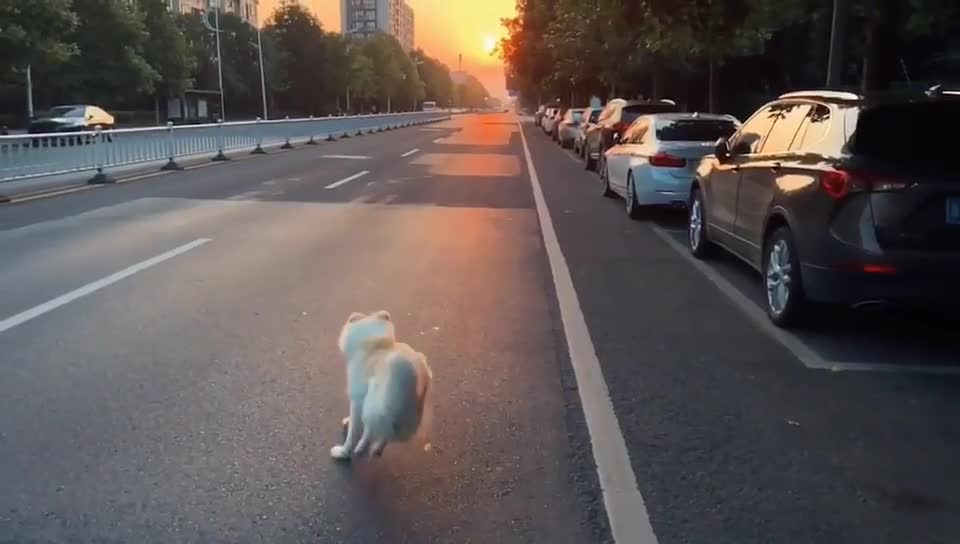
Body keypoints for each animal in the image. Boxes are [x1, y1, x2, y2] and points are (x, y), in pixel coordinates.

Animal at [332, 310, 434, 460]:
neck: (377, 344)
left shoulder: (356, 398)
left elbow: (353, 432)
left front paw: (344, 451)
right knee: (386, 432)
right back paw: (376, 449)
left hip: (373, 403)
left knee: (373, 430)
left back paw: (358, 448)